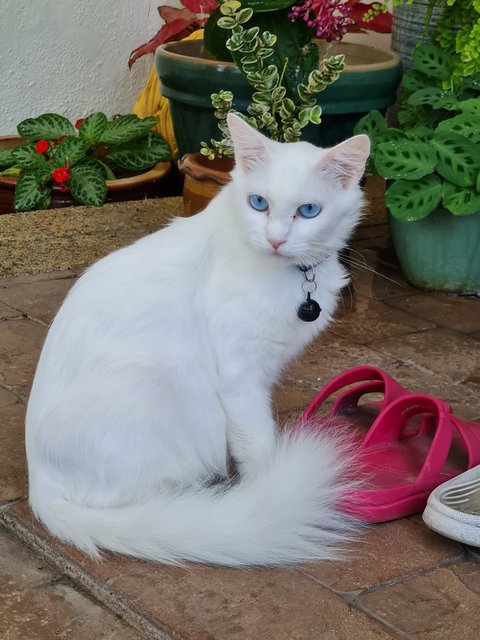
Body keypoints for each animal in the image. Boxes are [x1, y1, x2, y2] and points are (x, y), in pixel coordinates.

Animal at [25, 114, 372, 564]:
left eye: (308, 211)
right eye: (258, 203)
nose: (276, 239)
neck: (294, 277)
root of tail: (40, 487)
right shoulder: (240, 377)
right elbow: (257, 445)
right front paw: (266, 494)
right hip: (153, 386)